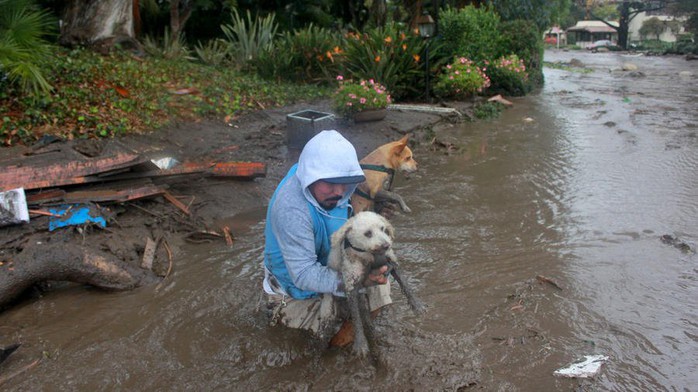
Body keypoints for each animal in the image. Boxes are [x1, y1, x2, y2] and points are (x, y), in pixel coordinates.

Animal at [328, 211, 422, 358]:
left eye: (383, 229)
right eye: (368, 233)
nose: (387, 245)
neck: (368, 255)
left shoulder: (391, 262)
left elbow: (405, 284)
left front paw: (416, 305)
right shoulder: (351, 284)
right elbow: (356, 318)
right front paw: (360, 343)